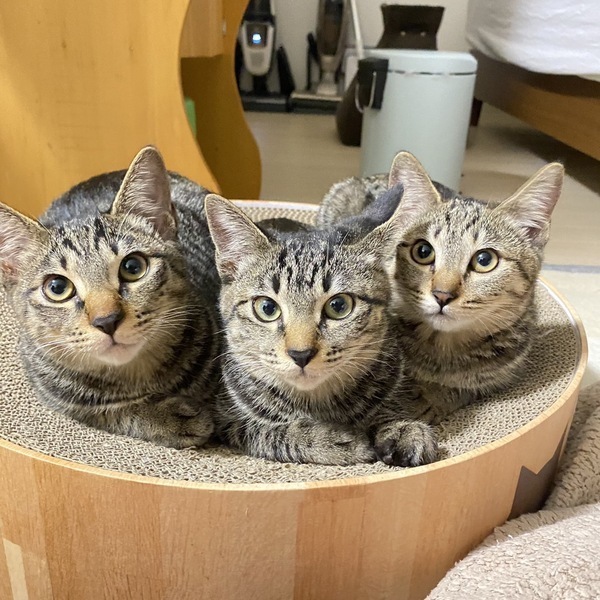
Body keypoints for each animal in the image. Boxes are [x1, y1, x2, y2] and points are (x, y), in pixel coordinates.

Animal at [0, 146, 220, 448]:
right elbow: (111, 411)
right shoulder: (62, 398)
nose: (107, 320)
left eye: (133, 267)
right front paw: (167, 417)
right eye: (57, 287)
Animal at [203, 193, 438, 467]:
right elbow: (267, 431)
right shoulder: (226, 420)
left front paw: (403, 428)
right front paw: (328, 439)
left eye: (339, 306)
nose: (300, 354)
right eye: (267, 308)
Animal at [318, 151, 564, 422]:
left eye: (484, 260)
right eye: (423, 251)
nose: (442, 295)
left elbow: (462, 389)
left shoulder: (500, 375)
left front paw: (432, 399)